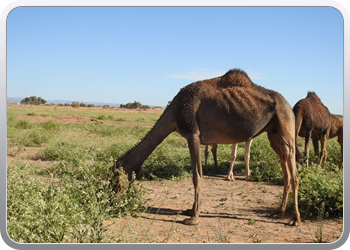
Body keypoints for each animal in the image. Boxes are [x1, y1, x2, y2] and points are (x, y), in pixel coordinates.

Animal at [112, 69, 300, 227]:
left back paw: (295, 219)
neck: (174, 113)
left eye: (115, 179)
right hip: (273, 133)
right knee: (285, 169)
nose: (112, 201)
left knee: (294, 172)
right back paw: (279, 212)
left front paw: (193, 218)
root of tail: (288, 104)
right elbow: (198, 174)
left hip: (285, 122)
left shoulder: (193, 134)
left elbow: (197, 175)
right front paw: (191, 210)